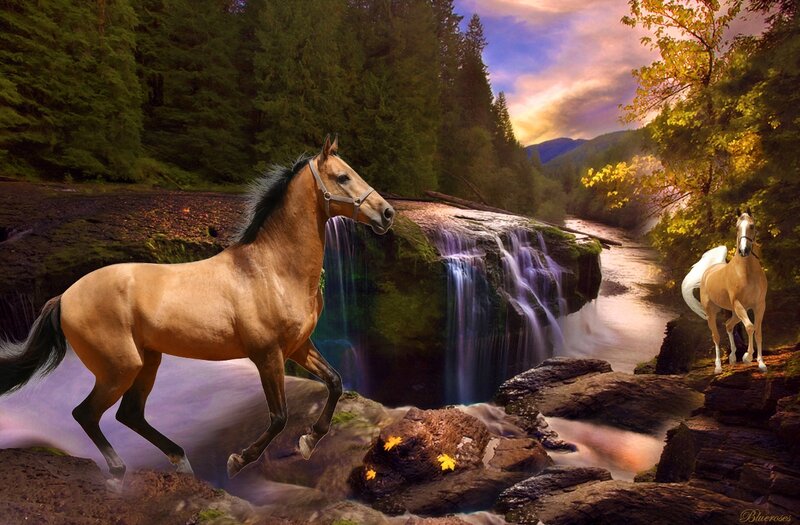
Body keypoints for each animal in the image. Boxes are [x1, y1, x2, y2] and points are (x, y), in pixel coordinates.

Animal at [0, 136, 395, 486]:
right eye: (342, 177)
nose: (387, 213)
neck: (274, 270)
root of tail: (64, 296)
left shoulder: (299, 346)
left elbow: (335, 382)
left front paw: (309, 441)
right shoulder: (267, 355)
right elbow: (279, 416)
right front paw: (239, 460)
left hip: (148, 361)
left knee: (130, 414)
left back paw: (181, 462)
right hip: (119, 367)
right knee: (86, 413)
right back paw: (118, 471)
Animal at [681, 208, 768, 374]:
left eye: (752, 226)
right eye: (737, 227)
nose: (744, 250)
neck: (746, 273)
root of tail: (710, 270)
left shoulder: (759, 305)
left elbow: (758, 331)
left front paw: (761, 363)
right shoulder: (739, 304)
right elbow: (750, 327)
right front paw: (747, 357)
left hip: (735, 312)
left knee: (728, 325)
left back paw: (733, 357)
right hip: (712, 312)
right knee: (716, 336)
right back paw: (718, 367)